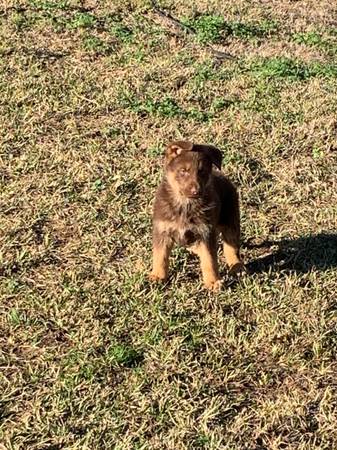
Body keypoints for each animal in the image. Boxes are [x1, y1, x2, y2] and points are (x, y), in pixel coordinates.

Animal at [148, 139, 243, 292]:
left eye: (202, 171)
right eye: (183, 171)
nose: (196, 191)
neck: (185, 205)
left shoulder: (205, 232)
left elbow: (209, 259)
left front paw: (212, 282)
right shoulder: (162, 231)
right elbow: (160, 257)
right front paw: (157, 277)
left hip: (230, 220)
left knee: (231, 247)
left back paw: (237, 267)